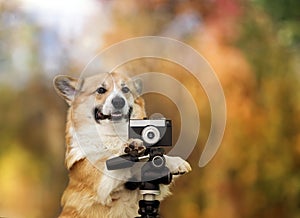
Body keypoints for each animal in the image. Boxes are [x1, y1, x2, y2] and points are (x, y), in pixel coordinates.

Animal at [53, 72, 190, 217]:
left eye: (125, 89)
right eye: (101, 90)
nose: (119, 101)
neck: (115, 136)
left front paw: (175, 162)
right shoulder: (101, 181)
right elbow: (113, 163)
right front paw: (132, 148)